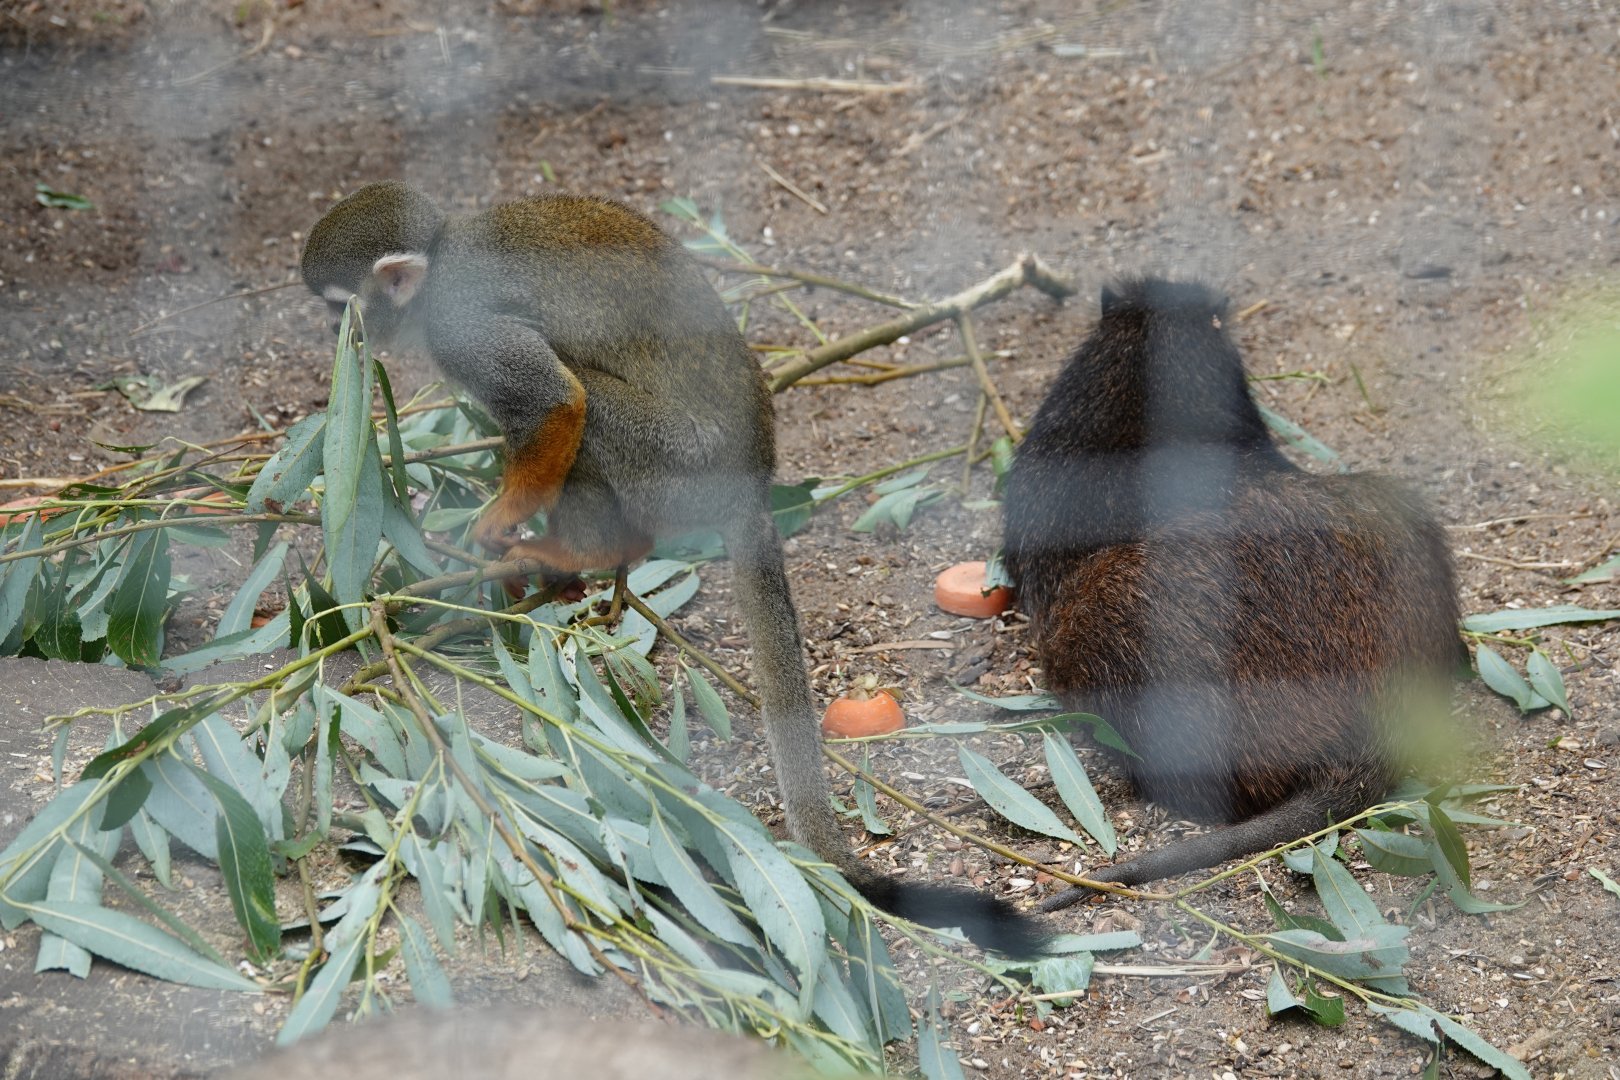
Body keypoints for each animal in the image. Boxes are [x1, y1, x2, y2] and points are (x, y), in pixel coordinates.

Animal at [300, 182, 1045, 954]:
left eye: (339, 305)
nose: (337, 336)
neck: (439, 259)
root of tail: (753, 479)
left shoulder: (460, 325)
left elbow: (554, 402)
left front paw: (498, 523)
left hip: (675, 463)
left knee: (587, 398)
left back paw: (589, 548)